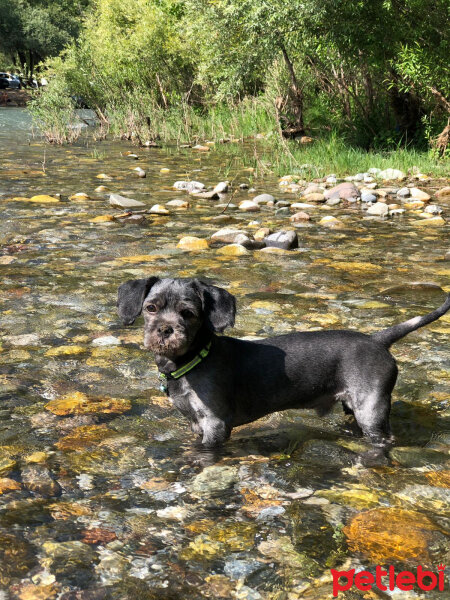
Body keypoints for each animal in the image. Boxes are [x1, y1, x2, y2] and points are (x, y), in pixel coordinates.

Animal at [117, 276, 450, 446]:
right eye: (150, 308)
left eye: (188, 313)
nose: (165, 329)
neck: (193, 360)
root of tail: (377, 339)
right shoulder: (195, 424)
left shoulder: (215, 425)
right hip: (354, 408)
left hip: (372, 409)